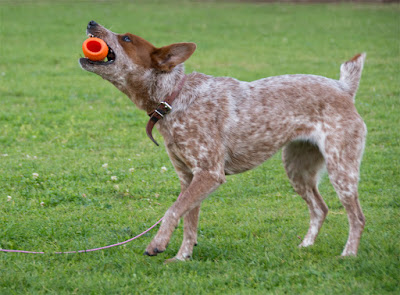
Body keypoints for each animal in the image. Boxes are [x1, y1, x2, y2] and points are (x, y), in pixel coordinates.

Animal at [79, 20, 368, 262]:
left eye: (126, 38)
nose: (92, 22)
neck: (173, 98)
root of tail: (344, 88)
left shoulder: (209, 173)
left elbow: (172, 211)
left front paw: (158, 243)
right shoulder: (188, 177)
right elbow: (188, 222)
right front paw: (181, 258)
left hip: (341, 170)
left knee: (357, 217)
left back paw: (349, 255)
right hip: (297, 169)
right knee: (320, 209)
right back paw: (305, 246)